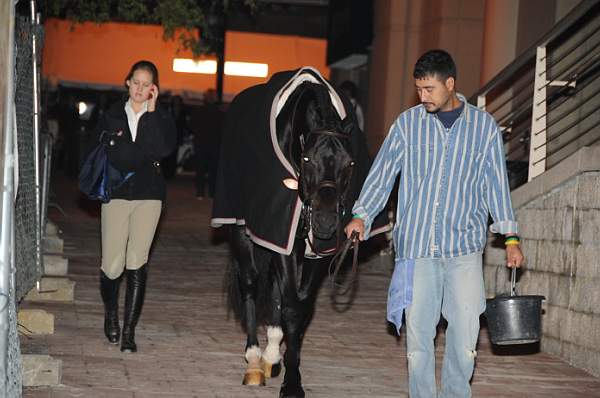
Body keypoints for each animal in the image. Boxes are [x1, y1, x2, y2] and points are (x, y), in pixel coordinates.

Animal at [213, 67, 386, 396]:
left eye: (350, 163)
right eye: (307, 159)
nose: (325, 223)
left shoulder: (315, 250)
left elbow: (300, 307)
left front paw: (288, 368)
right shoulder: (285, 238)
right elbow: (292, 306)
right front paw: (292, 384)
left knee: (276, 293)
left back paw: (271, 355)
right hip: (243, 231)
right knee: (251, 284)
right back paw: (254, 361)